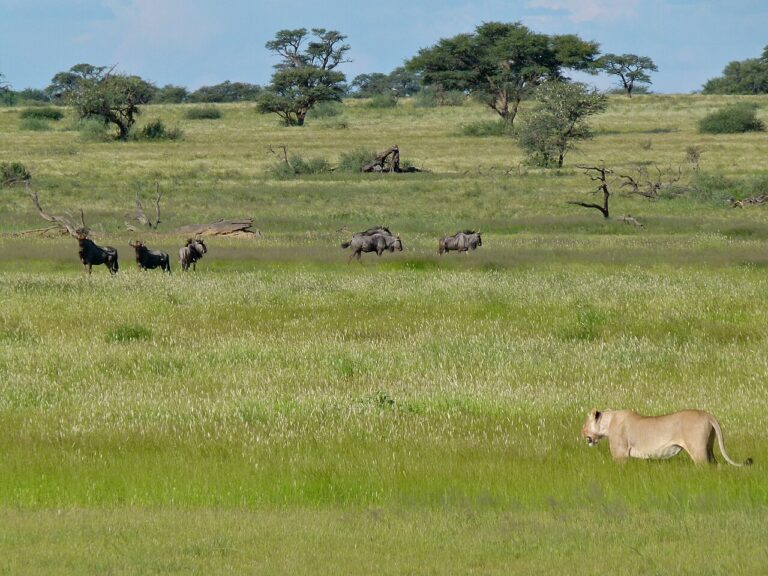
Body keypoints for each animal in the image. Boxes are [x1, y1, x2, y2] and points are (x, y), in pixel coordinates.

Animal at [581, 409, 753, 466]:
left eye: (584, 423)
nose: (581, 432)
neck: (608, 422)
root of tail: (708, 414)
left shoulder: (620, 455)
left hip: (697, 449)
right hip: (709, 447)